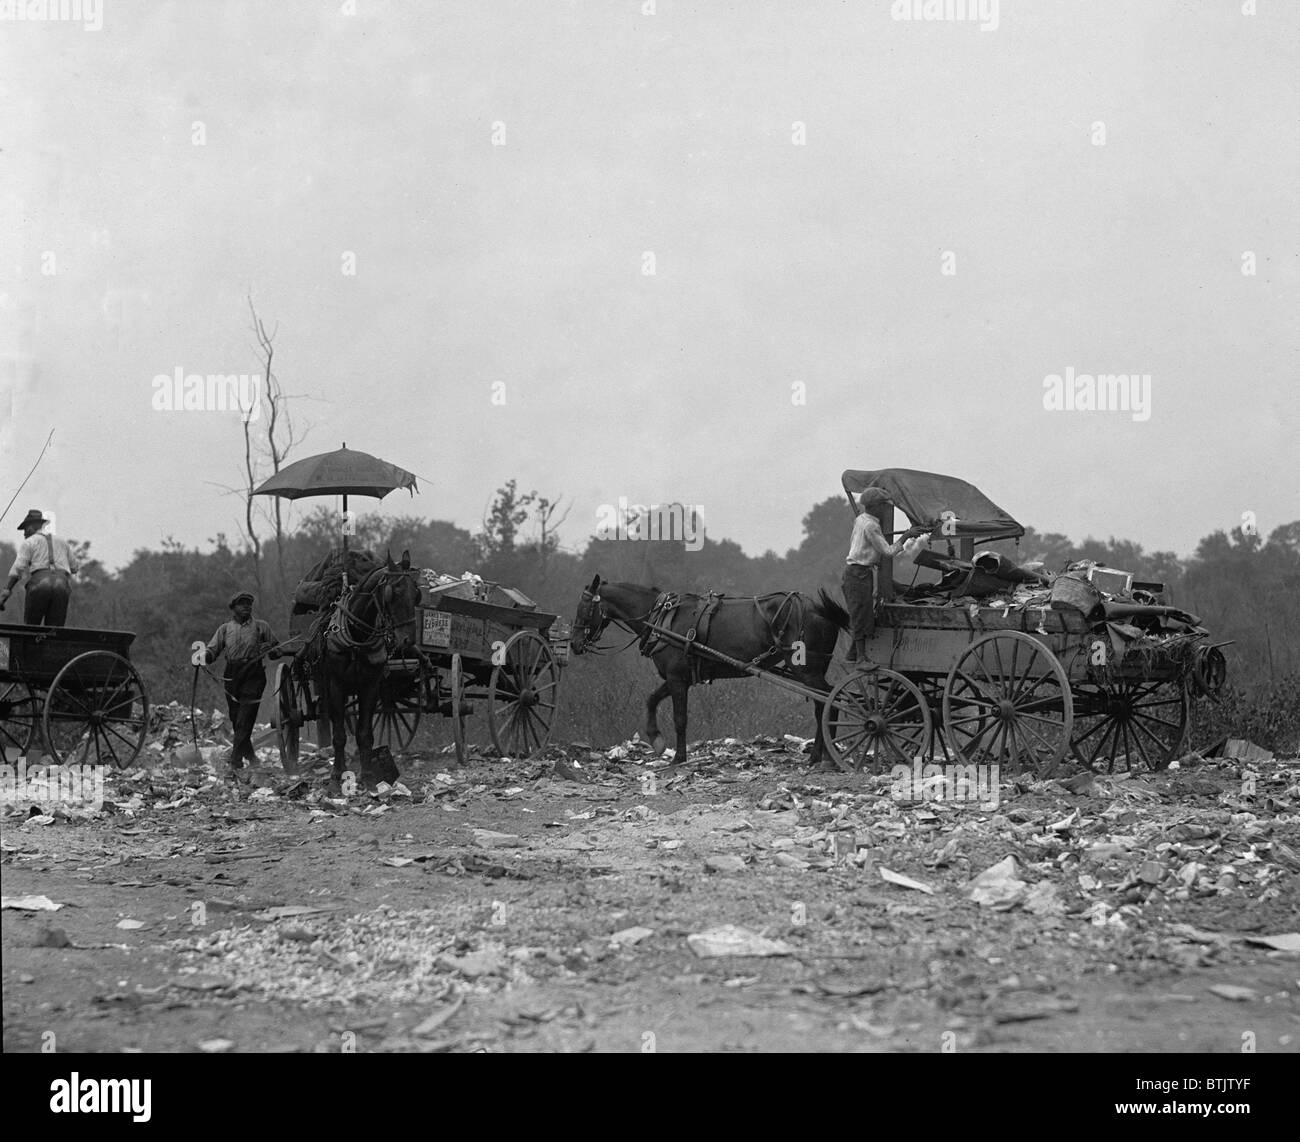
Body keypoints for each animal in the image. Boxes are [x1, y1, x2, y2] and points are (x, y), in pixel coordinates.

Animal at [569, 580, 842, 770]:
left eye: (584, 608)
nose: (574, 643)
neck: (663, 619)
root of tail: (817, 608)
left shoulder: (677, 679)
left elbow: (680, 719)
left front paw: (678, 758)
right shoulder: (678, 678)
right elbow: (651, 700)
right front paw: (656, 739)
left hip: (807, 670)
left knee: (827, 701)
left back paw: (824, 757)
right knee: (829, 701)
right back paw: (822, 756)